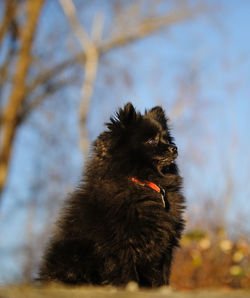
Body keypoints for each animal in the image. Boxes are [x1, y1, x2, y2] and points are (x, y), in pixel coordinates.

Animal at [38, 102, 184, 286]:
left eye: (167, 139)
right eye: (151, 140)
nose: (174, 147)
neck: (144, 182)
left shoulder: (165, 246)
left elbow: (161, 278)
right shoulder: (120, 245)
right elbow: (127, 275)